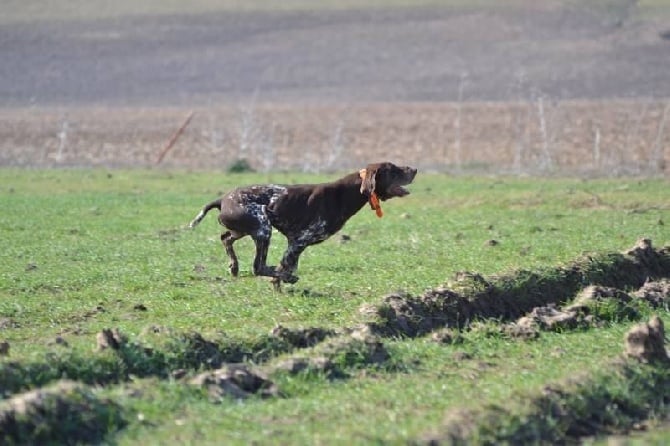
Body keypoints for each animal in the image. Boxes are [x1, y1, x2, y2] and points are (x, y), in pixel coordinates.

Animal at [189, 161, 418, 290]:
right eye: (394, 169)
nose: (415, 169)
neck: (345, 194)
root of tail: (222, 200)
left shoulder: (296, 244)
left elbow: (287, 264)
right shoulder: (299, 240)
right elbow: (284, 266)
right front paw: (282, 281)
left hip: (244, 229)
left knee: (226, 238)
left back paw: (234, 267)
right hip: (263, 228)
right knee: (258, 266)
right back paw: (284, 277)